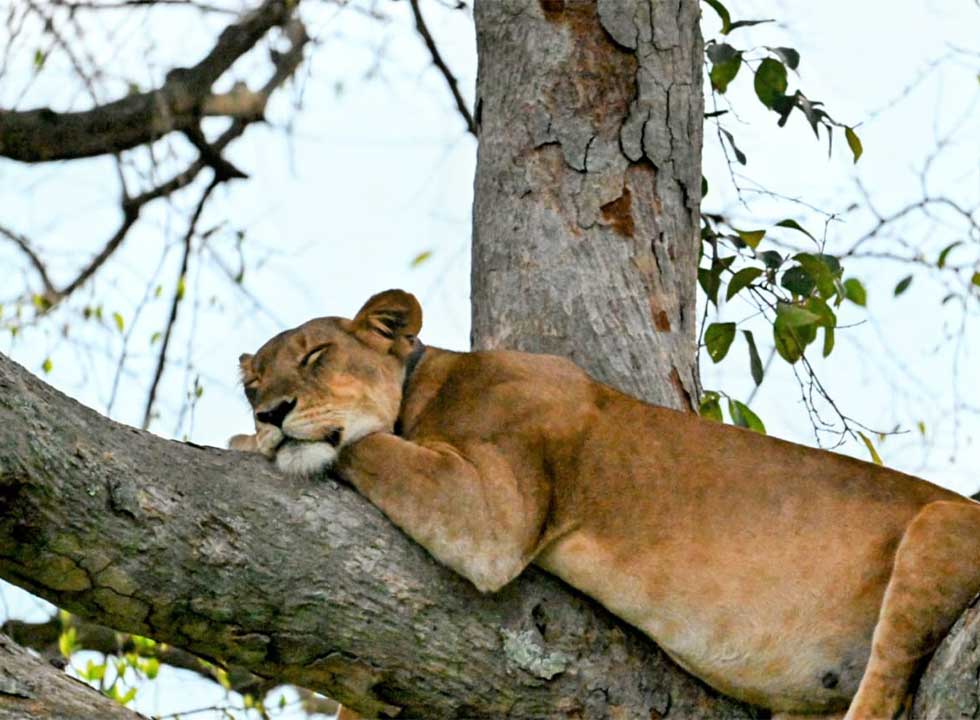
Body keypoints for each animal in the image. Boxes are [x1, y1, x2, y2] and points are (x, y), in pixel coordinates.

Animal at [230, 289, 980, 719]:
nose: (268, 412)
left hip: (943, 525)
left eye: (317, 356)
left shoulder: (494, 513)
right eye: (253, 383)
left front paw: (259, 443)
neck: (423, 388)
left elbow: (368, 444)